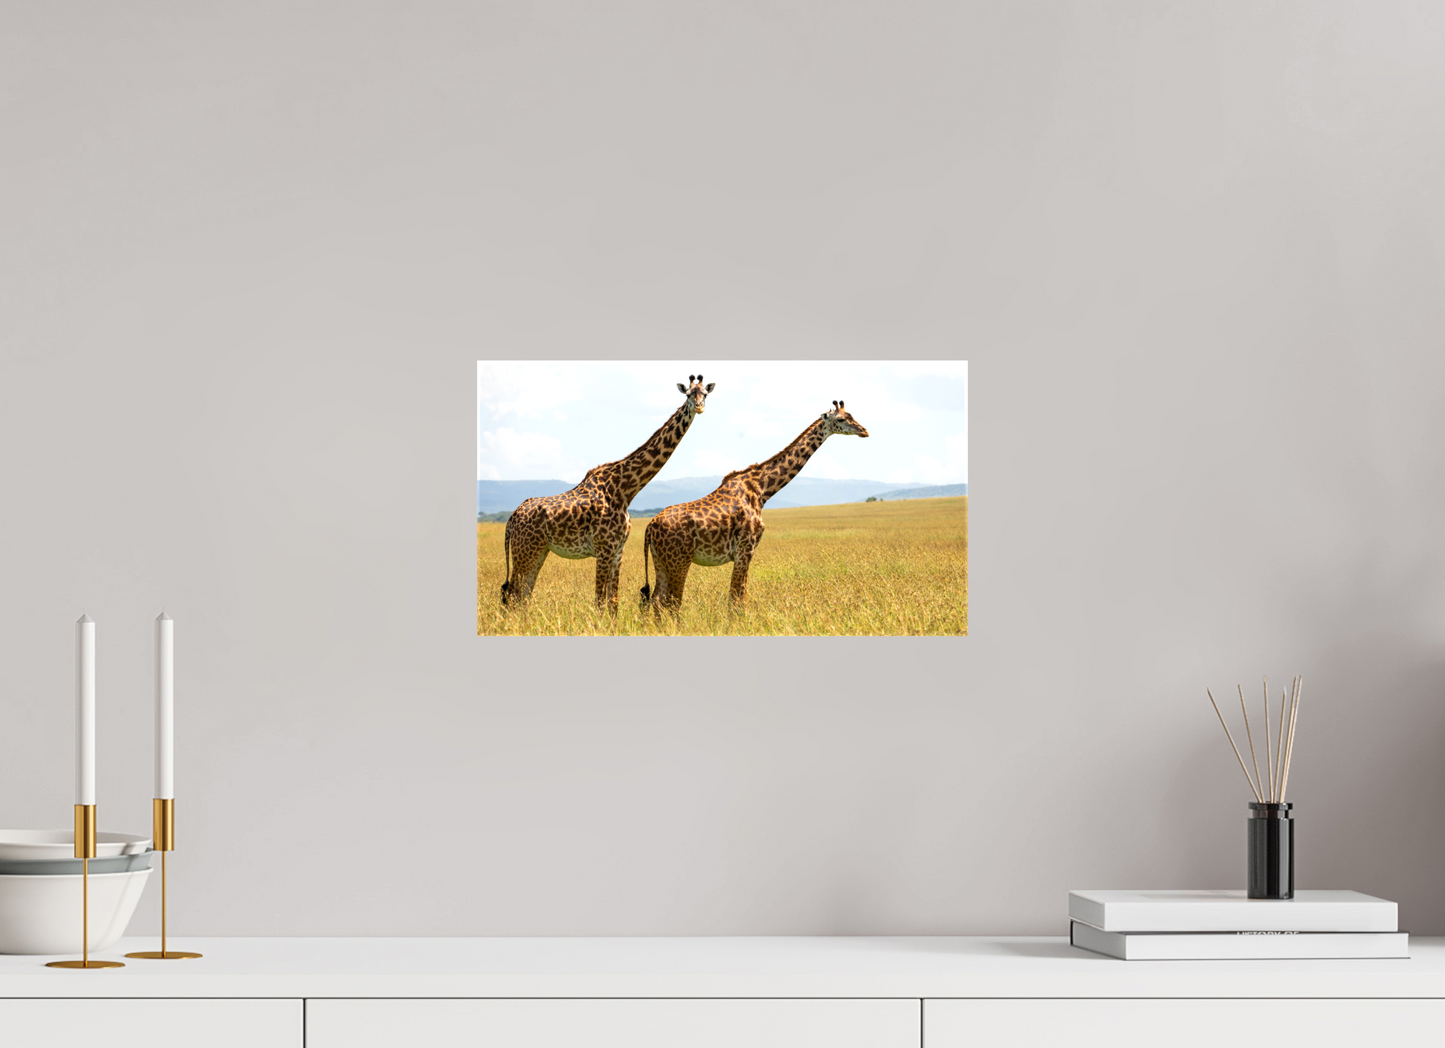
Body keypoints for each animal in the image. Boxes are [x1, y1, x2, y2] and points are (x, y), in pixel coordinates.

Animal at [500, 374, 715, 611]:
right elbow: (599, 601)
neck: (625, 489)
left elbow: (613, 602)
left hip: (538, 551)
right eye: (688, 394)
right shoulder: (604, 548)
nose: (699, 407)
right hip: (525, 551)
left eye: (705, 394)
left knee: (523, 594)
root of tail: (511, 519)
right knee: (512, 594)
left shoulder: (618, 549)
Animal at [640, 400, 869, 613]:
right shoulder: (745, 549)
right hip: (679, 560)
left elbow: (740, 598)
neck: (762, 489)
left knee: (657, 601)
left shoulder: (746, 552)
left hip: (660, 560)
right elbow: (736, 601)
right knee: (671, 603)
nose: (864, 431)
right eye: (841, 419)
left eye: (852, 415)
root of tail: (650, 526)